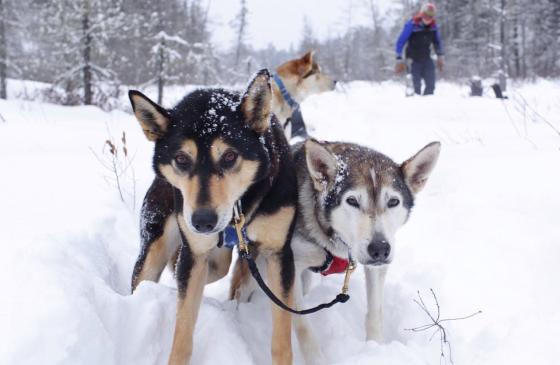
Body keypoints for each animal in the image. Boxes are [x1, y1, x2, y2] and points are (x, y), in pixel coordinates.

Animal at [130, 70, 300, 364]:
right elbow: (183, 334)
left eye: (230, 156)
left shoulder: (279, 253)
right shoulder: (195, 254)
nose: (202, 221)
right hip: (154, 250)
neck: (239, 210)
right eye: (181, 159)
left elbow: (281, 339)